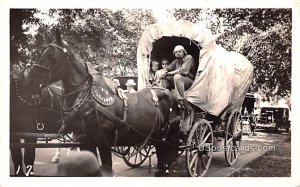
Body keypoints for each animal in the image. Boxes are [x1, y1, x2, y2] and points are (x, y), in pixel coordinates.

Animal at [27, 29, 180, 177]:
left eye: (52, 56)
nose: (30, 81)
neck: (88, 100)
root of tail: (169, 94)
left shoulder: (103, 142)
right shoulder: (85, 142)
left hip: (166, 137)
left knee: (166, 157)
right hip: (157, 137)